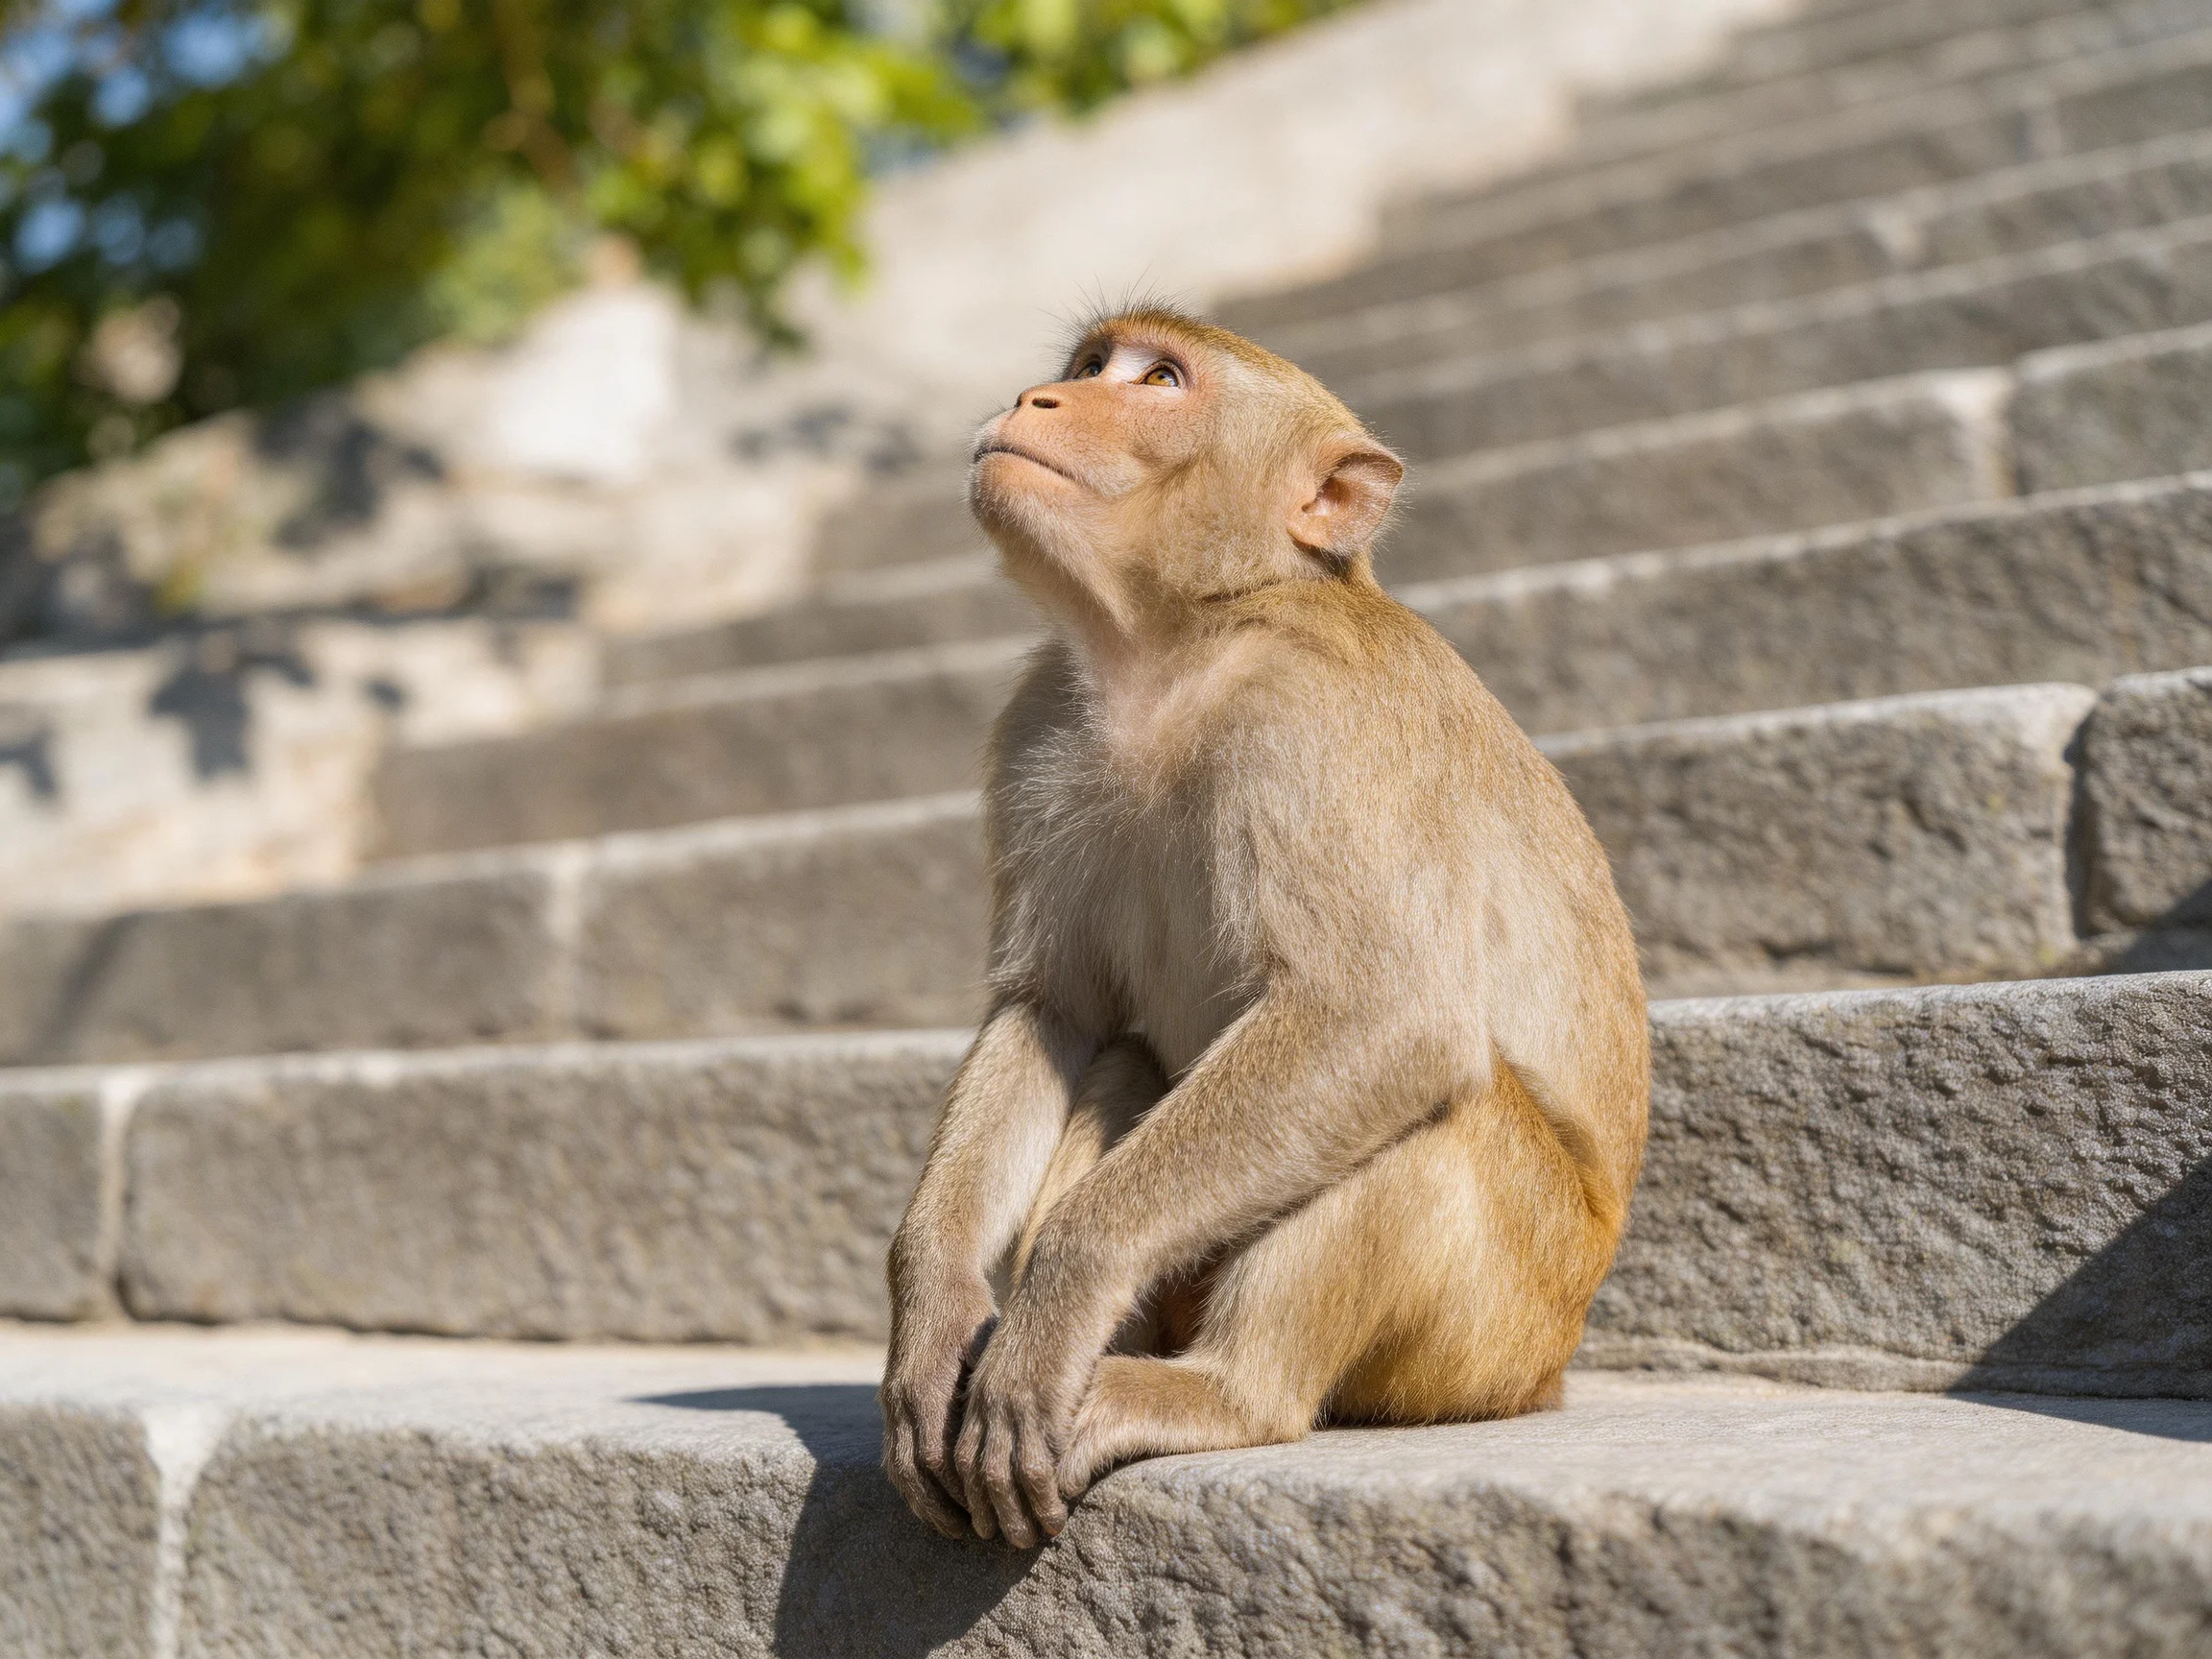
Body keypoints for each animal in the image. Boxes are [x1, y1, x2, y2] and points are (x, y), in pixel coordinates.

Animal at [878, 307, 1649, 1549]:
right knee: (1127, 1058)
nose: (1039, 399)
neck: (1180, 643)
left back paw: (1222, 1392)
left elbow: (1382, 1016)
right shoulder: (1039, 724)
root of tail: (1551, 1373)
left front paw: (1063, 1287)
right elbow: (1052, 1011)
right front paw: (937, 1310)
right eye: (1089, 367)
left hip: (1497, 1326)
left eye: (1160, 381)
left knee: (1439, 1098)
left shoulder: (1319, 718)